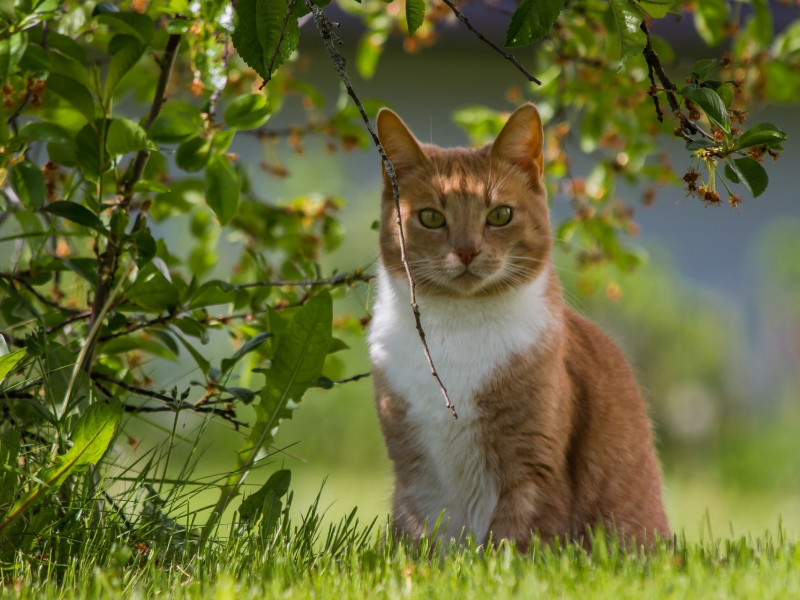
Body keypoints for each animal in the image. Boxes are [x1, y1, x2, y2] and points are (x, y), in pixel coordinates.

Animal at [368, 104, 668, 552]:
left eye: (500, 215)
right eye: (431, 217)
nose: (467, 250)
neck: (459, 329)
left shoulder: (533, 469)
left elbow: (513, 541)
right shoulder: (414, 477)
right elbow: (424, 540)